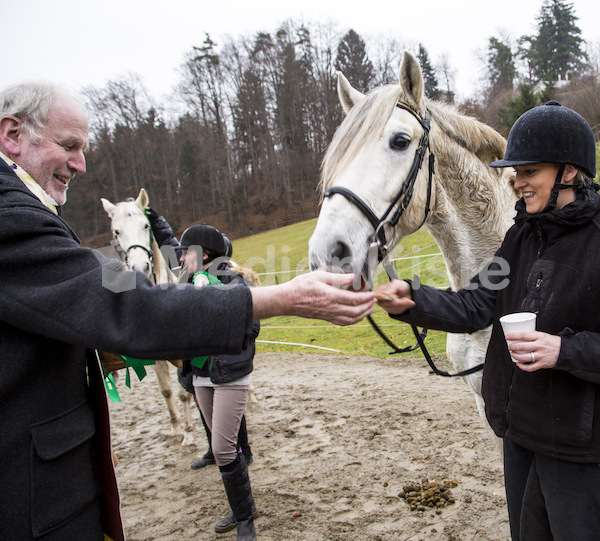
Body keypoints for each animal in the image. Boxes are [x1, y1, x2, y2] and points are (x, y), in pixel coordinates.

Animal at [101, 188, 195, 446]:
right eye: (117, 231)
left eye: (145, 225)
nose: (140, 268)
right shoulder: (157, 361)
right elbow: (167, 391)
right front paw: (176, 428)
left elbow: (183, 393)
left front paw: (189, 433)